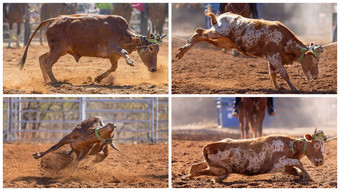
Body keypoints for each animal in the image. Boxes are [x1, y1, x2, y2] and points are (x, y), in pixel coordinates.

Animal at [177, 7, 326, 91]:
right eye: (314, 61)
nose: (316, 77)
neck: (284, 40)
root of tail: (221, 17)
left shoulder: (271, 59)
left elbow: (273, 73)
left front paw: (277, 87)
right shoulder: (275, 58)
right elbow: (284, 74)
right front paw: (294, 88)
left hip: (223, 42)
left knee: (202, 37)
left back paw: (183, 50)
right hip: (217, 32)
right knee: (199, 32)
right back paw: (182, 51)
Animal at [185, 129, 328, 183]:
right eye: (316, 145)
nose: (321, 161)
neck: (289, 145)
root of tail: (209, 146)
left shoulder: (283, 168)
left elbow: (295, 168)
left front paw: (301, 175)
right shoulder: (279, 162)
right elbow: (299, 163)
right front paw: (307, 176)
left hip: (212, 167)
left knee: (194, 166)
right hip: (217, 170)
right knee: (197, 171)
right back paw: (188, 177)